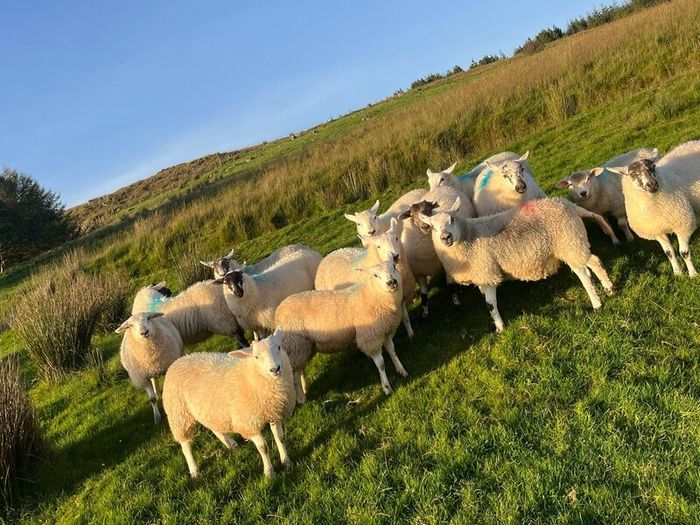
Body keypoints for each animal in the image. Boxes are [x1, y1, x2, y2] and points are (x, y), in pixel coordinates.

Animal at [162, 328, 296, 479]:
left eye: (279, 347)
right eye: (256, 357)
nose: (275, 369)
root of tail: (178, 361)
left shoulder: (275, 412)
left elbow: (280, 438)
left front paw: (286, 461)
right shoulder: (248, 423)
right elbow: (263, 447)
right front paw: (269, 472)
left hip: (207, 409)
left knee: (214, 427)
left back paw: (230, 444)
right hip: (179, 414)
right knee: (185, 445)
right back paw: (194, 470)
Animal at [275, 260, 406, 402]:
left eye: (394, 267)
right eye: (375, 275)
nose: (392, 282)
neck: (372, 295)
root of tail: (279, 312)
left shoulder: (385, 331)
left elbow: (393, 351)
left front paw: (401, 370)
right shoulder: (370, 338)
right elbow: (381, 364)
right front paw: (387, 388)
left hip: (303, 347)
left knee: (299, 369)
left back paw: (304, 390)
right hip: (295, 344)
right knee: (294, 374)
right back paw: (301, 398)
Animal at [418, 197, 614, 332]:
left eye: (452, 219)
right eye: (432, 227)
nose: (446, 237)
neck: (469, 237)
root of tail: (568, 204)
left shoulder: (487, 272)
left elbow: (490, 304)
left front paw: (500, 328)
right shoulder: (481, 276)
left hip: (569, 242)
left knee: (585, 274)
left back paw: (597, 304)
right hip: (575, 243)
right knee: (595, 261)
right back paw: (609, 288)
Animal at [607, 140, 700, 277]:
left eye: (653, 167)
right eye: (632, 174)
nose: (652, 184)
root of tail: (695, 141)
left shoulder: (682, 224)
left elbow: (684, 253)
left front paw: (693, 274)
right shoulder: (657, 231)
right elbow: (669, 253)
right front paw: (677, 272)